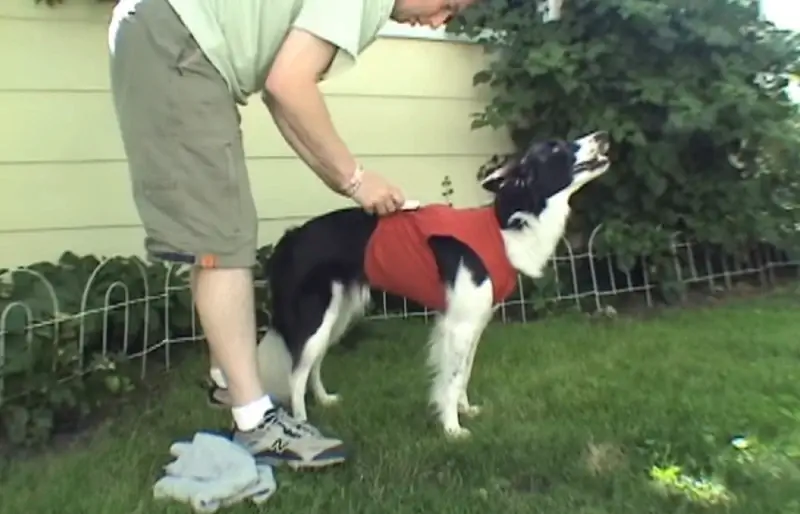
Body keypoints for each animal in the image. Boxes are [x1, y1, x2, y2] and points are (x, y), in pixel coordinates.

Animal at [245, 131, 612, 436]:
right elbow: (450, 380)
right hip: (316, 315)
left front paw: (466, 410)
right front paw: (452, 429)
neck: (505, 226)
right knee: (296, 372)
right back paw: (302, 421)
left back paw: (324, 400)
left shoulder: (476, 321)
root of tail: (292, 237)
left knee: (313, 363)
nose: (604, 136)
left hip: (340, 314)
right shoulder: (458, 324)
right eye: (555, 148)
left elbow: (463, 372)